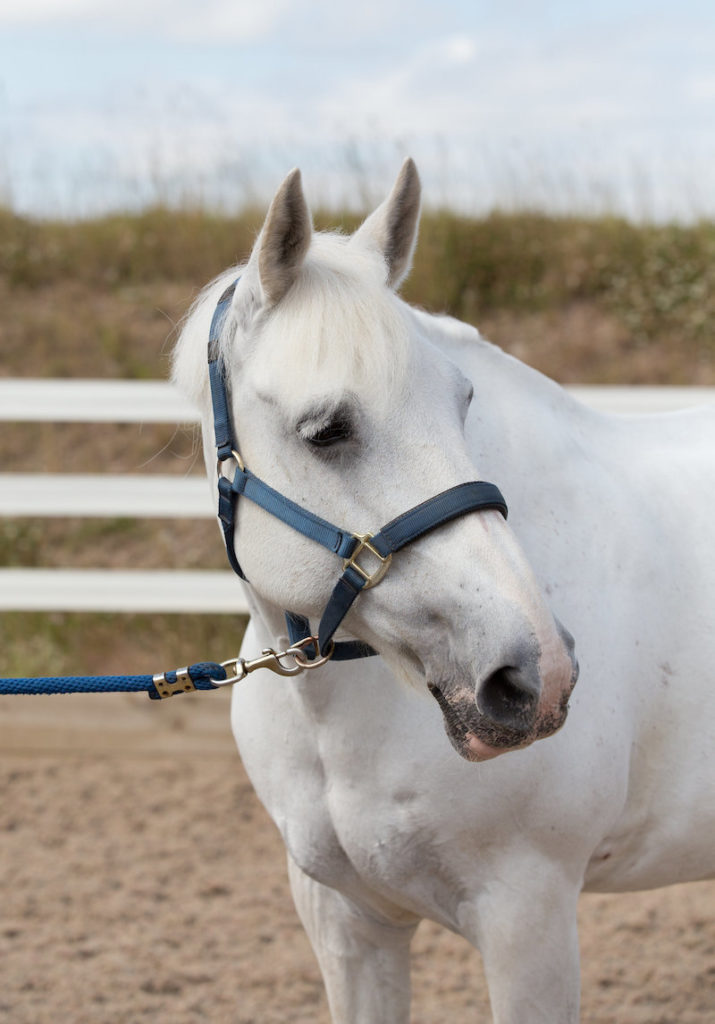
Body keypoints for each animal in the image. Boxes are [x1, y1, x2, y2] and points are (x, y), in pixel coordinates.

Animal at [172, 159, 715, 1022]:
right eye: (326, 429)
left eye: (463, 401)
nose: (533, 675)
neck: (342, 722)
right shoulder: (345, 922)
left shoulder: (526, 915)